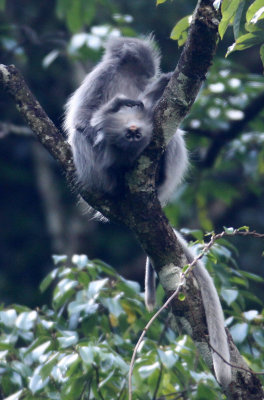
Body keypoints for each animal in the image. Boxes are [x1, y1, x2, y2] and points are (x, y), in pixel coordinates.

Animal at [63, 36, 231, 386]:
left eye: (146, 72)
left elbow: (155, 108)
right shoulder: (100, 79)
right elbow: (83, 120)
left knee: (171, 135)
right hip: (91, 171)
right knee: (85, 138)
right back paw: (115, 170)